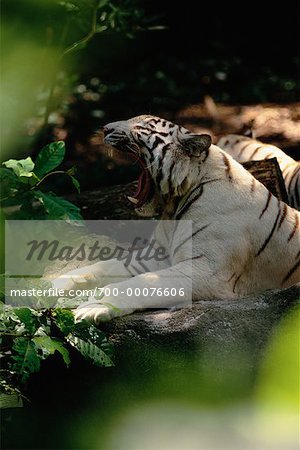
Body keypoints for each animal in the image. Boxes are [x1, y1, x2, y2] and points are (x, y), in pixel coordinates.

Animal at [51, 114, 300, 322]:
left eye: (141, 126)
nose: (105, 128)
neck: (175, 206)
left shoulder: (206, 272)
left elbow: (140, 283)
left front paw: (94, 307)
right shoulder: (153, 258)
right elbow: (96, 269)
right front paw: (48, 286)